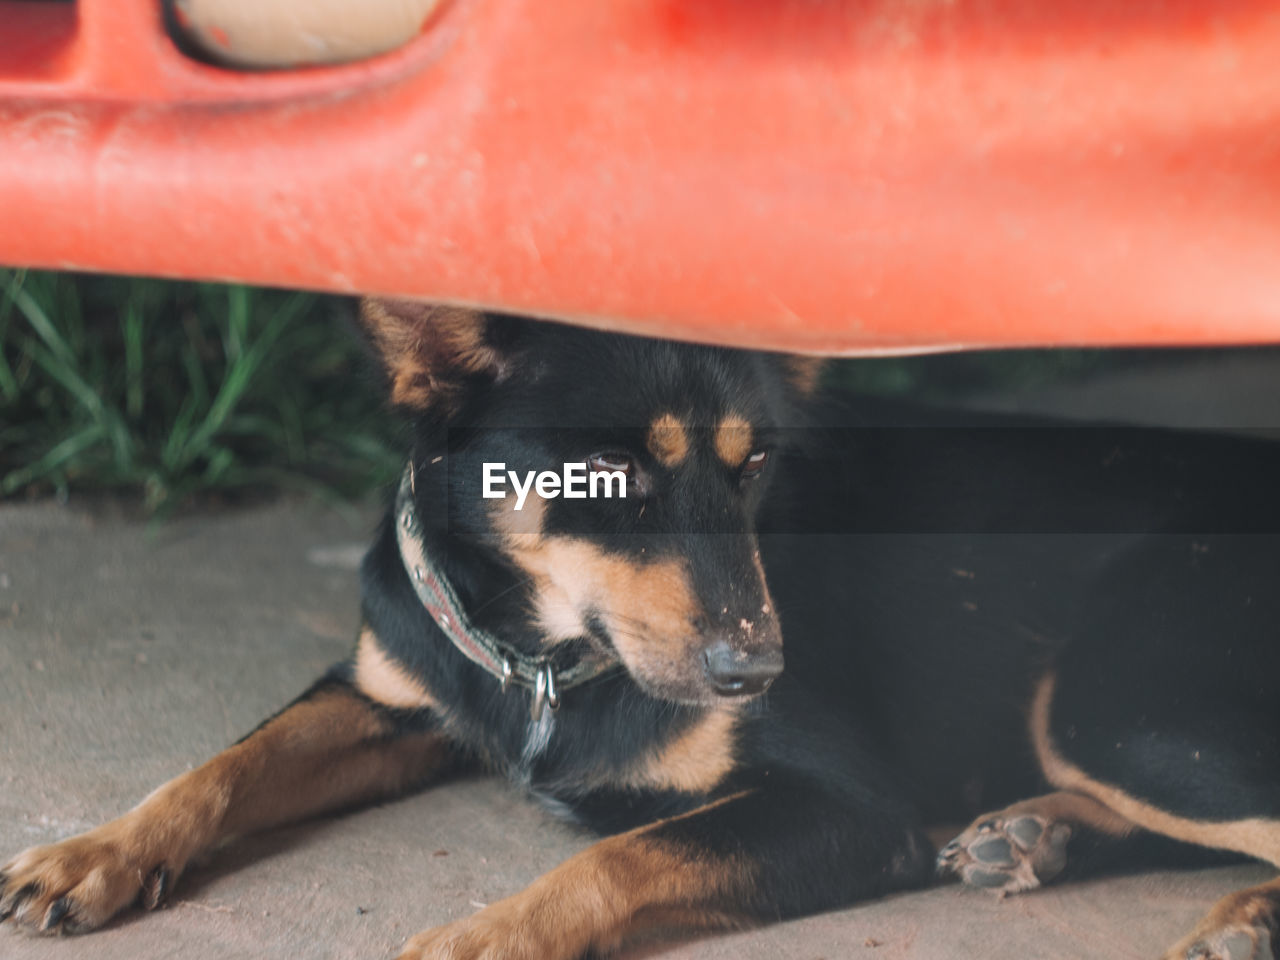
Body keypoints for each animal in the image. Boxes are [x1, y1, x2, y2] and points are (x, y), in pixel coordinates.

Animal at [2, 302, 1280, 960]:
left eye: (755, 465)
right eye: (611, 477)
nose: (758, 668)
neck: (544, 654)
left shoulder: (845, 809)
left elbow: (619, 855)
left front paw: (478, 943)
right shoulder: (383, 694)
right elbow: (223, 764)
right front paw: (96, 850)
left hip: (1114, 702)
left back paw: (1230, 915)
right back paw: (1034, 836)